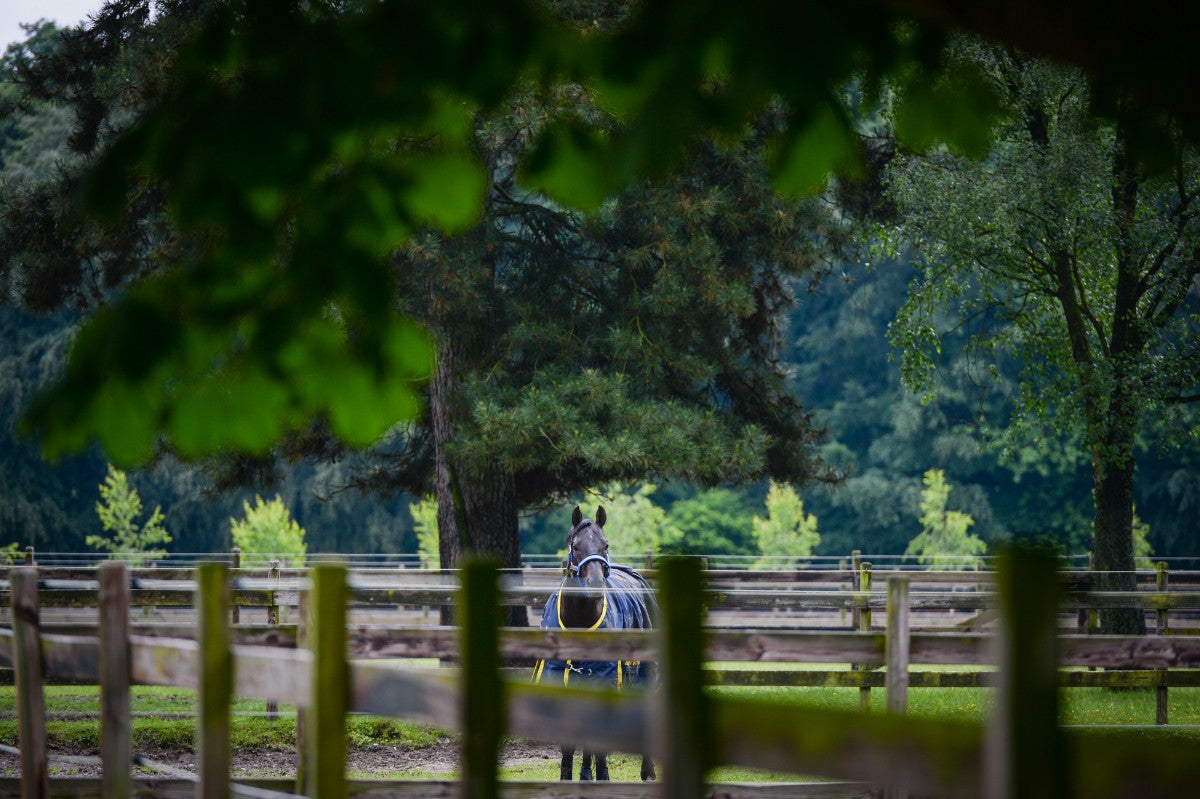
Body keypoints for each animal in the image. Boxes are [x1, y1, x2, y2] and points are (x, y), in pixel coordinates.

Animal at [532, 505, 658, 781]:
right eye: (575, 545)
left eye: (605, 544)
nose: (596, 584)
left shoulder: (604, 680)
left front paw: (603, 776)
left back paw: (647, 771)